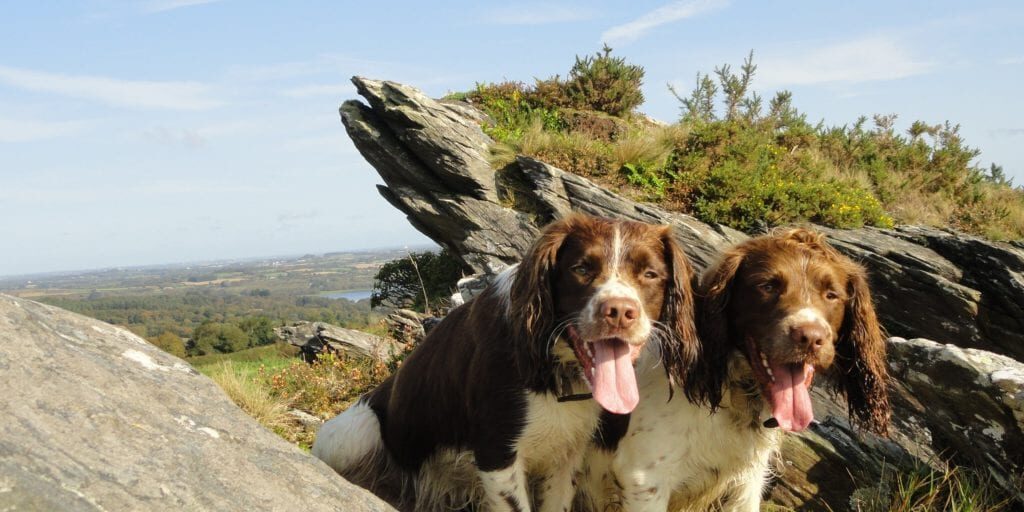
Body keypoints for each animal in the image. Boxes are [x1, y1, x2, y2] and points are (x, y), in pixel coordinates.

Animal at [311, 216, 696, 512]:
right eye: (582, 268)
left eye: (650, 274)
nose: (619, 312)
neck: (553, 363)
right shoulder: (497, 454)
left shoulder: (566, 455)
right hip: (356, 430)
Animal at [585, 229, 888, 512]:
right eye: (767, 286)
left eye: (832, 295)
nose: (811, 338)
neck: (731, 391)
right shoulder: (645, 479)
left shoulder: (747, 481)